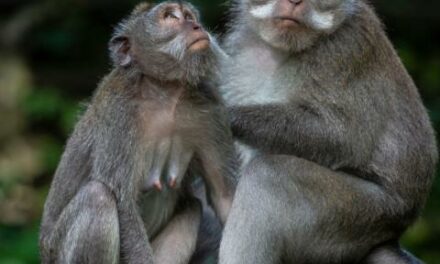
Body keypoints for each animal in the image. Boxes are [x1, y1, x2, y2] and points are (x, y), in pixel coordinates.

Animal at [37, 2, 237, 264]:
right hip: (58, 253)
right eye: (170, 16)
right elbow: (124, 202)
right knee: (97, 197)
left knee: (192, 207)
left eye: (189, 15)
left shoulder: (210, 108)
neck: (165, 93)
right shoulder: (118, 114)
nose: (196, 26)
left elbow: (224, 195)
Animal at [218, 0, 438, 264]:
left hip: (359, 215)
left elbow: (341, 139)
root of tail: (388, 236)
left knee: (269, 174)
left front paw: (223, 113)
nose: (293, 2)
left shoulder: (345, 51)